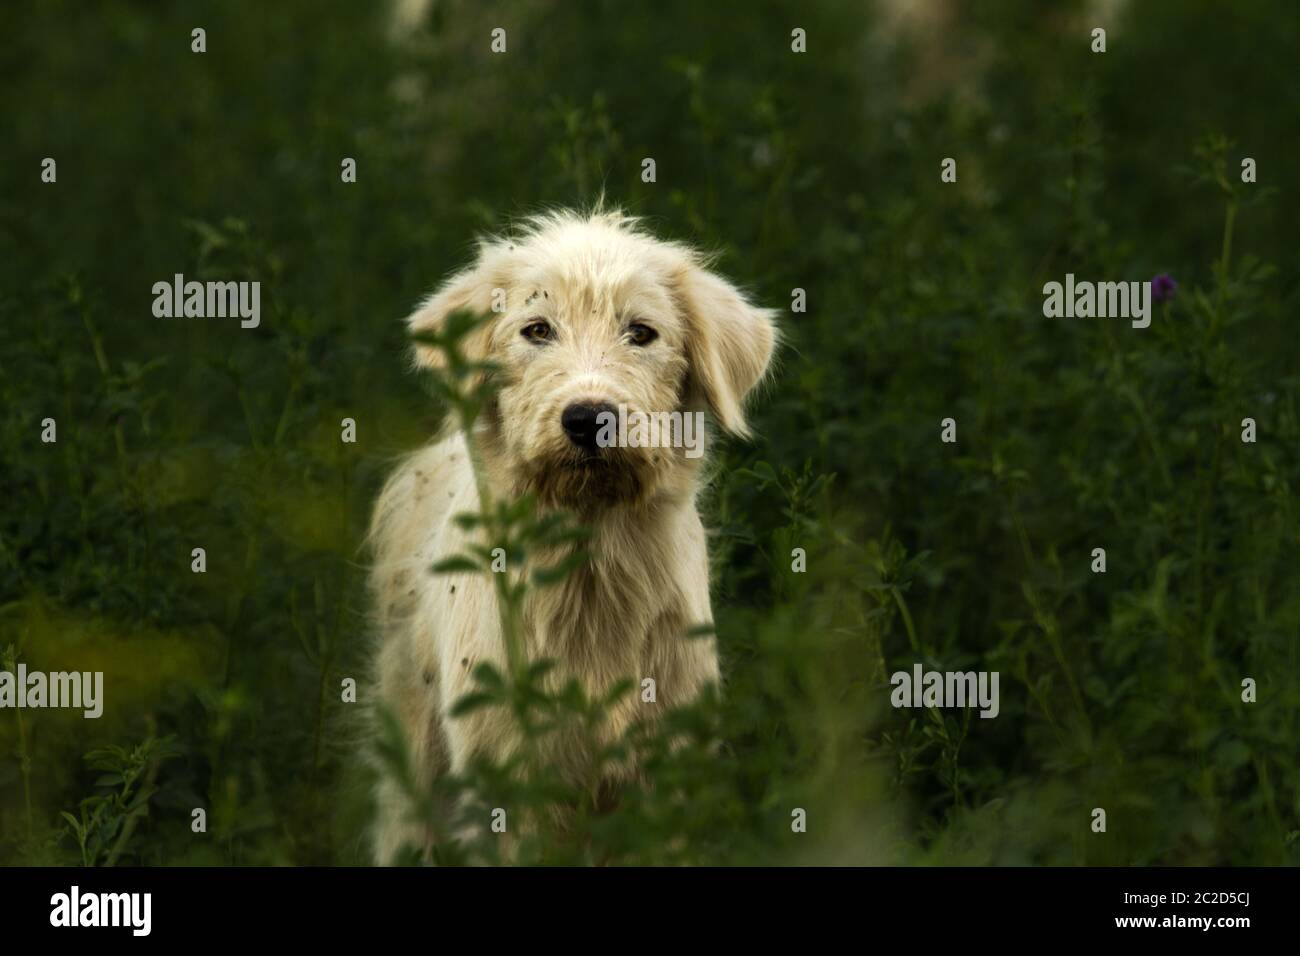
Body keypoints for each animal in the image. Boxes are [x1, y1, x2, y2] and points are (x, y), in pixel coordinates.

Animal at [369, 210, 769, 868]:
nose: (588, 418)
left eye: (641, 332)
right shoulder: (511, 784)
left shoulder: (665, 779)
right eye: (536, 330)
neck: (589, 564)